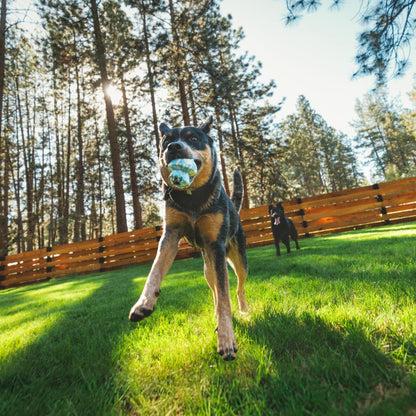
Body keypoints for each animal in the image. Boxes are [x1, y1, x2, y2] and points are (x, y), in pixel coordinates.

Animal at [128, 115, 249, 360]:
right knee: (214, 290)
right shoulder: (170, 235)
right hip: (207, 269)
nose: (174, 147)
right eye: (166, 140)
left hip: (238, 259)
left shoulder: (216, 246)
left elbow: (225, 297)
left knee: (238, 286)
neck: (192, 199)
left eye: (193, 138)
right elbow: (154, 271)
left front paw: (227, 340)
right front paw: (143, 303)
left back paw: (243, 309)